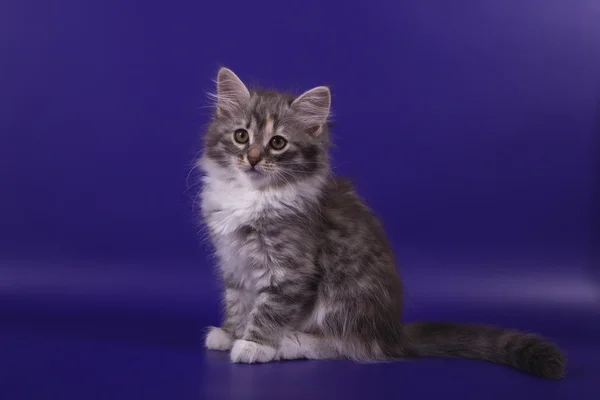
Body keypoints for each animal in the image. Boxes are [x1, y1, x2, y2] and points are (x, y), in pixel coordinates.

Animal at [197, 67, 568, 380]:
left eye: (277, 143)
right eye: (241, 136)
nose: (252, 159)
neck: (251, 196)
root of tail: (394, 331)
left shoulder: (290, 268)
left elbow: (269, 308)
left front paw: (254, 344)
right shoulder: (234, 262)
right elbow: (238, 301)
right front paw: (231, 333)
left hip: (345, 297)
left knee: (352, 345)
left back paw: (291, 342)